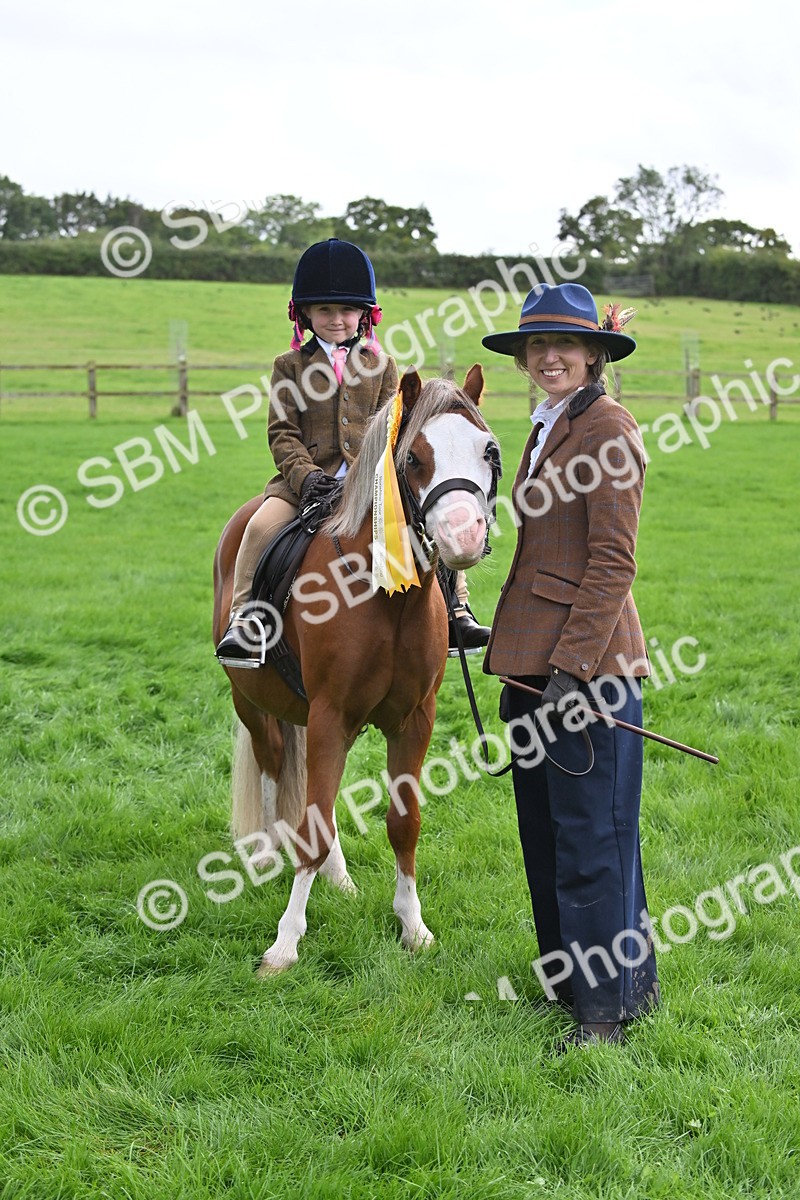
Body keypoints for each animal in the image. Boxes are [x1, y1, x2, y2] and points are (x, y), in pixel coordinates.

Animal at [212, 365, 500, 974]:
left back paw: (338, 877)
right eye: (413, 457)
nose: (463, 536)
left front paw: (413, 926)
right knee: (276, 771)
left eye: (487, 450)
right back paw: (267, 857)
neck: (387, 598)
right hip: (254, 704)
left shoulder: (412, 721)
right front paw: (285, 944)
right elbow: (312, 824)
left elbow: (403, 823)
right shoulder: (330, 714)